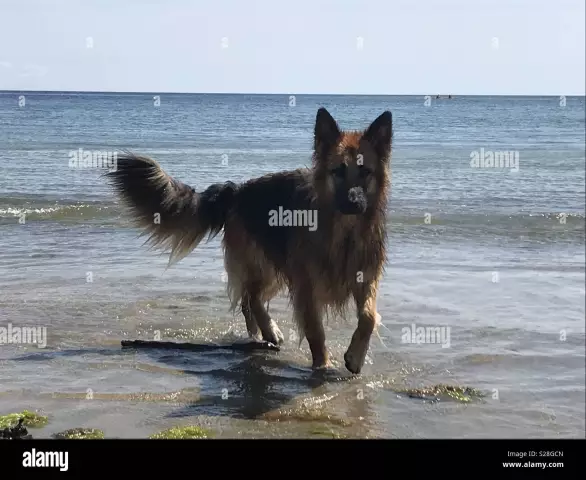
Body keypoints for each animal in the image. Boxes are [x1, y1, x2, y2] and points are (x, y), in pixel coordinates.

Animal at [107, 109, 392, 376]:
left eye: (365, 172)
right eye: (338, 172)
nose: (355, 203)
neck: (344, 233)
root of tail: (237, 190)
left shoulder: (366, 277)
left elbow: (369, 316)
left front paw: (355, 357)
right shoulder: (305, 286)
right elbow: (315, 330)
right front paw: (322, 365)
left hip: (273, 271)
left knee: (248, 299)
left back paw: (259, 334)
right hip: (265, 265)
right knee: (251, 298)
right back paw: (269, 331)